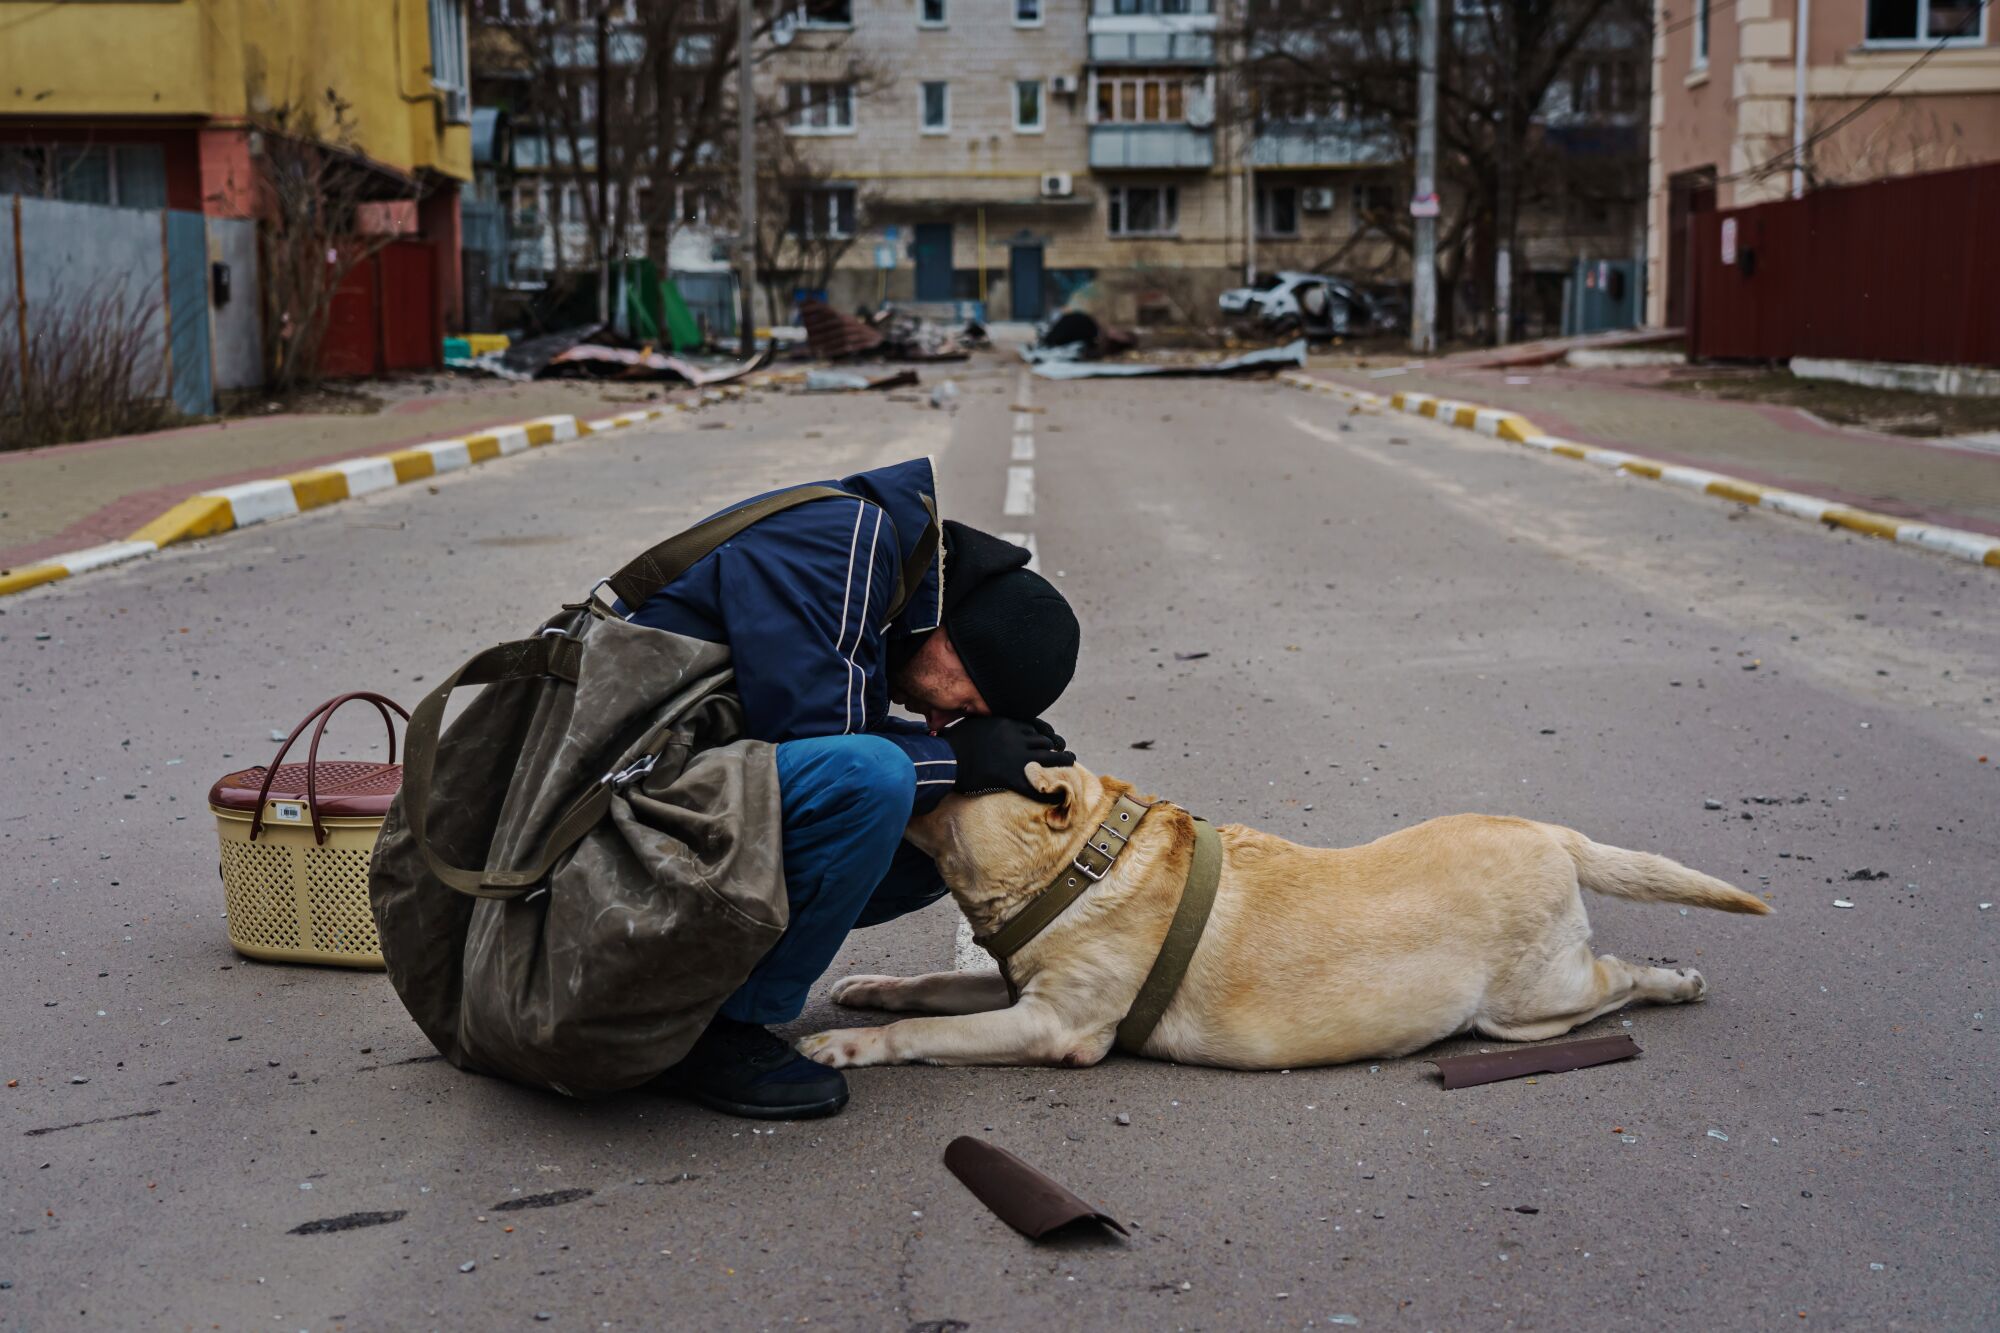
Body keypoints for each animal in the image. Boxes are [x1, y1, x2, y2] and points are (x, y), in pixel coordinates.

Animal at [796, 764, 1768, 1064]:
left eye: (959, 764)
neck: (1076, 869)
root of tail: (1551, 832)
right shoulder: (1014, 989)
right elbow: (927, 987)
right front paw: (870, 986)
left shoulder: (1051, 1026)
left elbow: (928, 1033)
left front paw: (850, 1045)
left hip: (1531, 1004)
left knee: (1617, 980)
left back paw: (1676, 981)